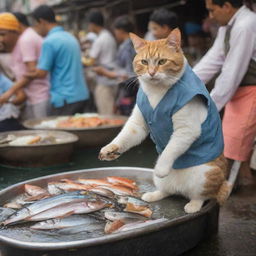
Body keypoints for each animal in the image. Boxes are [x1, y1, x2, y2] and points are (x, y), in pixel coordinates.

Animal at [98, 28, 230, 213]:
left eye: (162, 61)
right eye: (144, 62)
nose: (152, 72)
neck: (156, 91)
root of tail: (181, 191)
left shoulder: (186, 129)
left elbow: (170, 149)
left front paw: (162, 168)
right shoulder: (138, 125)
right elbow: (124, 137)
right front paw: (110, 149)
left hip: (206, 175)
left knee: (202, 195)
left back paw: (193, 205)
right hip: (165, 184)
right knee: (167, 191)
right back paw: (153, 195)